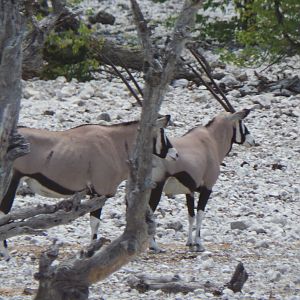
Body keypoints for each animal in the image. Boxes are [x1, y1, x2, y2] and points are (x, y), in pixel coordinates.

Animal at [0, 116, 178, 258]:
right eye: (162, 131)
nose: (175, 154)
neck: (115, 143)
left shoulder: (94, 194)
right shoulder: (99, 193)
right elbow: (95, 222)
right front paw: (92, 250)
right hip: (11, 182)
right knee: (4, 213)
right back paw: (6, 255)